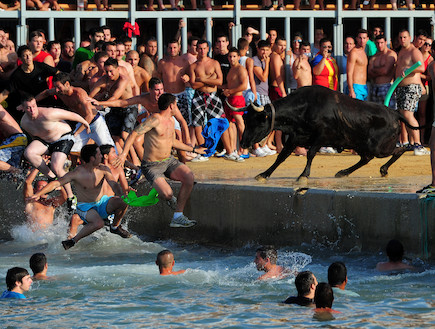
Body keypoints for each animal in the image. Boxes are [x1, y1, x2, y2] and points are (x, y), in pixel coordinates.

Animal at [235, 84, 422, 182]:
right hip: (360, 144)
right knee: (366, 158)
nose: (243, 143)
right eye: (245, 120)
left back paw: (383, 169)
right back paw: (344, 172)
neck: (306, 106)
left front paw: (303, 175)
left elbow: (310, 153)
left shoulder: (322, 135)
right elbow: (282, 156)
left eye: (257, 121)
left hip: (379, 147)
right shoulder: (295, 137)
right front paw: (264, 174)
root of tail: (395, 113)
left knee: (400, 149)